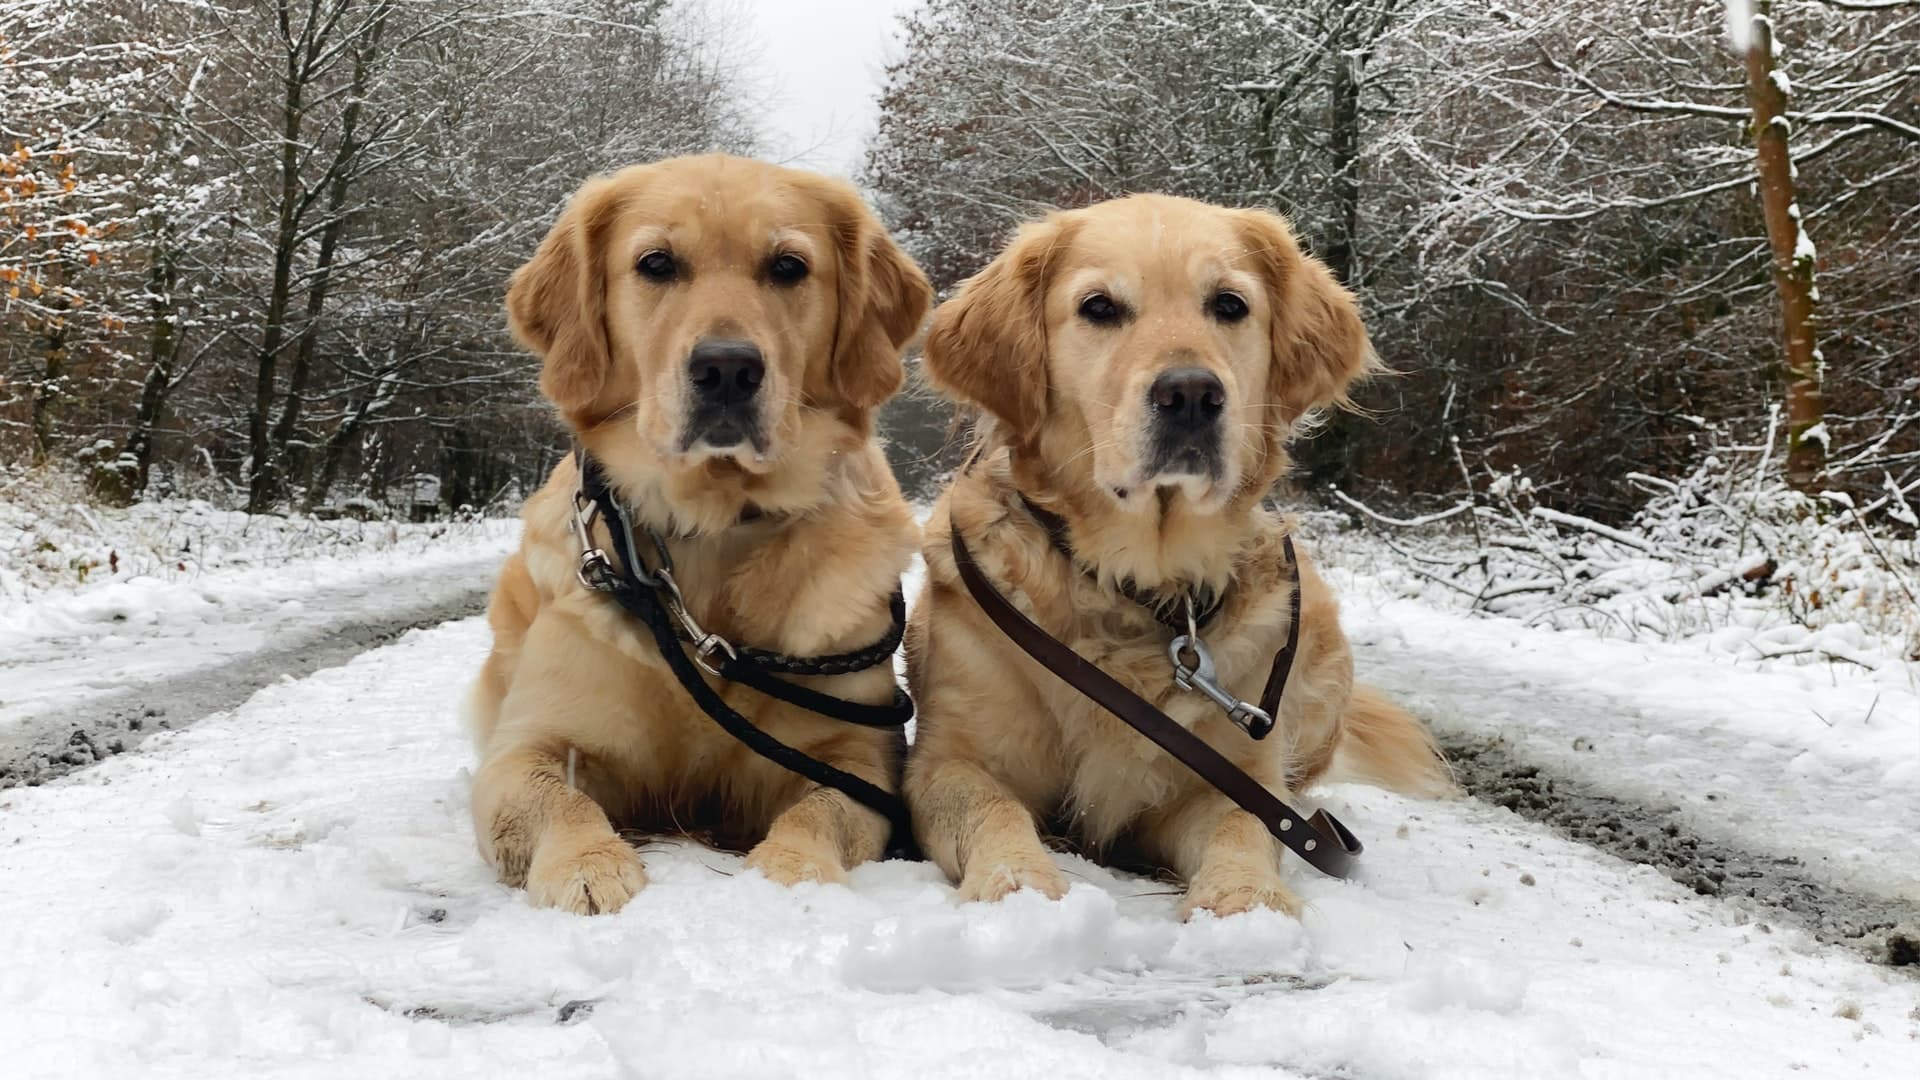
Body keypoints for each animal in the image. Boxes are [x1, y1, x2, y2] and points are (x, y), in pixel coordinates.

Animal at [472, 153, 936, 907]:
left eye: (787, 267)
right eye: (657, 264)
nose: (726, 368)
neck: (713, 531)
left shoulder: (857, 756)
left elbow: (820, 810)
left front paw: (794, 871)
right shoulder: (529, 743)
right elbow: (557, 797)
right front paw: (589, 867)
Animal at [906, 193, 1443, 914]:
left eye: (1229, 304)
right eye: (1099, 307)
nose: (1190, 394)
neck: (1138, 588)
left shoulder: (1226, 780)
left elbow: (1244, 826)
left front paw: (1245, 902)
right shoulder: (952, 759)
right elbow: (995, 808)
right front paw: (1020, 885)